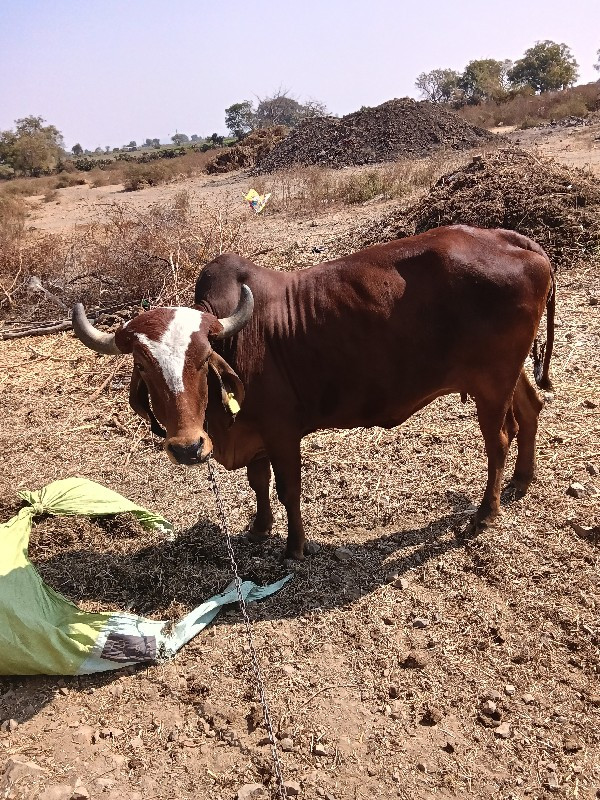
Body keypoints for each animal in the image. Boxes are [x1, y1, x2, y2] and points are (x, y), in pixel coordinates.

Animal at [72, 227, 556, 564]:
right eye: (143, 367)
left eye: (203, 358)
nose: (188, 448)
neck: (236, 338)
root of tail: (509, 239)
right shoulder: (256, 436)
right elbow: (258, 483)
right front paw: (259, 528)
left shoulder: (283, 434)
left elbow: (289, 490)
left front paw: (294, 548)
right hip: (505, 375)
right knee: (531, 409)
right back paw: (522, 480)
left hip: (490, 383)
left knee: (499, 440)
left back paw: (485, 513)